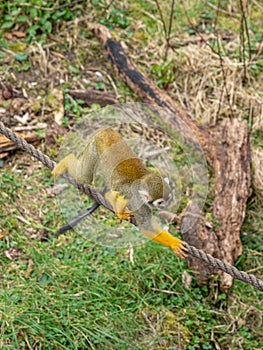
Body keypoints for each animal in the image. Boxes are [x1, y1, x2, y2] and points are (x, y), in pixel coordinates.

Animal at [52, 127, 188, 258]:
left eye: (168, 198)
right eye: (160, 202)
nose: (165, 205)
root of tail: (107, 131)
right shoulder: (137, 201)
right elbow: (145, 226)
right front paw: (174, 243)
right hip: (93, 147)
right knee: (84, 178)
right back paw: (66, 161)